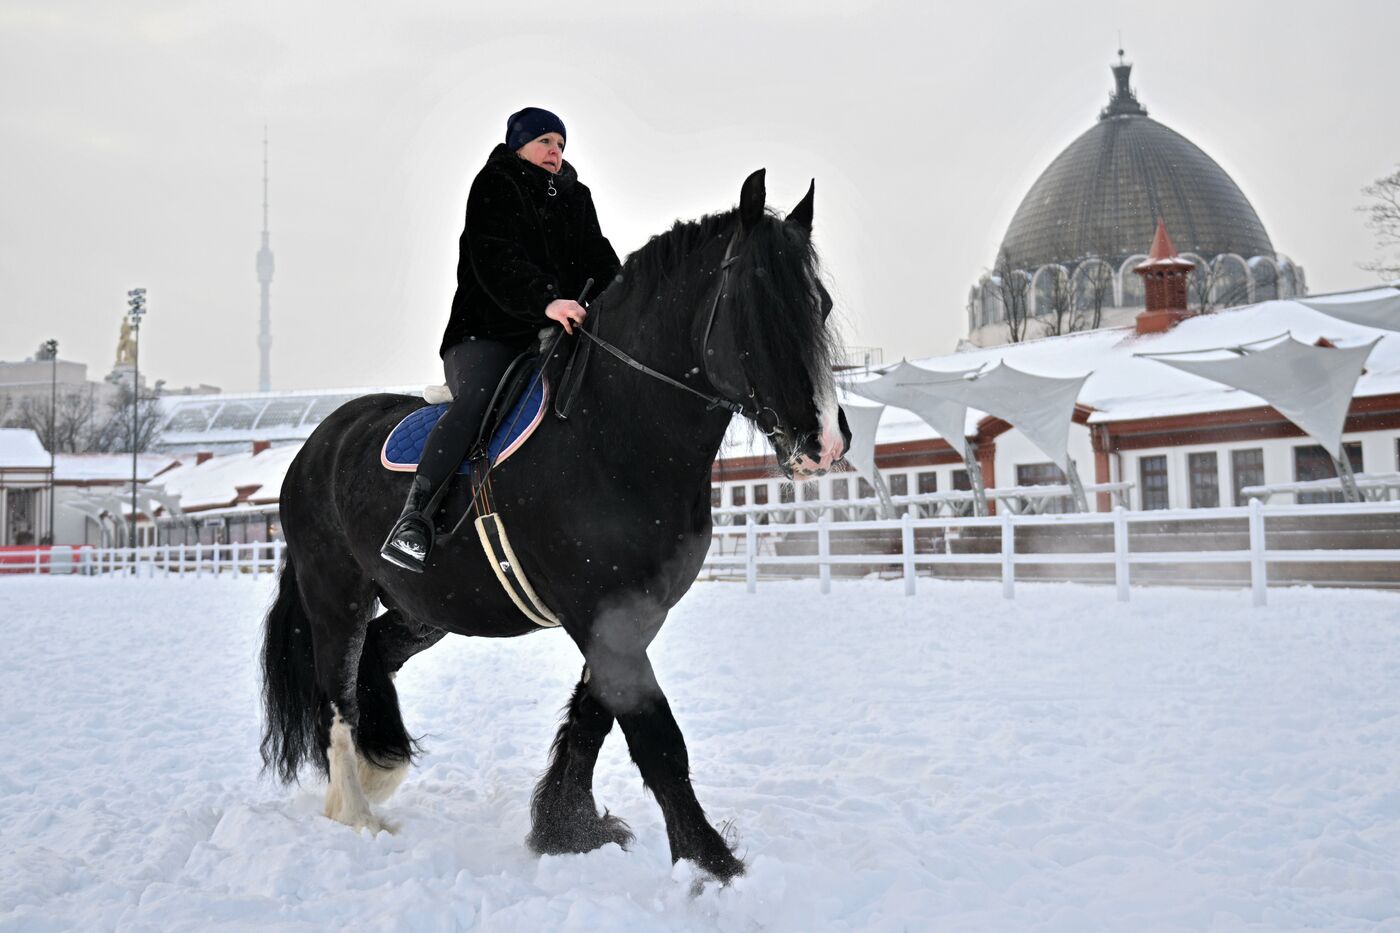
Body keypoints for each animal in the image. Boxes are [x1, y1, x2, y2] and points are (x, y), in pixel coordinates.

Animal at [263, 168, 851, 879]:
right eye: (757, 306)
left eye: (820, 304)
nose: (824, 443)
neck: (612, 433)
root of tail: (316, 446)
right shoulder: (601, 612)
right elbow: (656, 738)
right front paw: (710, 864)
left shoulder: (632, 611)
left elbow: (594, 718)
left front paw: (568, 828)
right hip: (336, 597)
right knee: (337, 696)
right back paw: (356, 812)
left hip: (424, 607)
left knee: (377, 656)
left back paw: (384, 769)